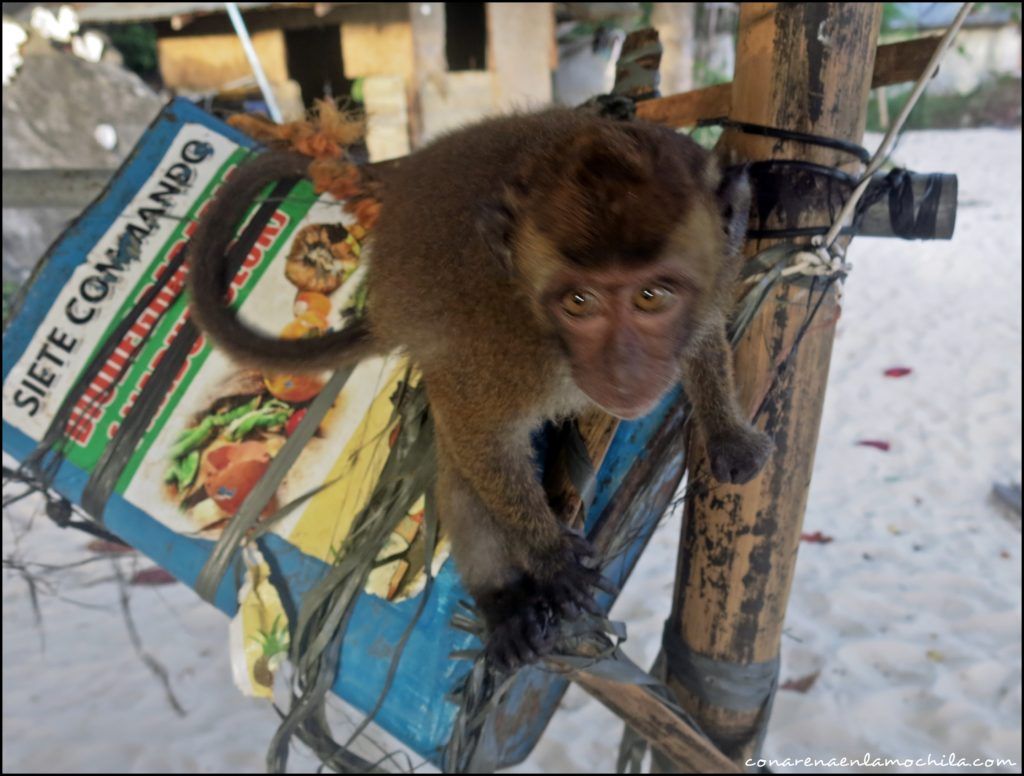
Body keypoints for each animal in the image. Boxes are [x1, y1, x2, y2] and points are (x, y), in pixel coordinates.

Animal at [188, 109, 770, 675]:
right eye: (579, 302)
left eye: (651, 296)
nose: (624, 372)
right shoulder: (497, 351)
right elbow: (478, 438)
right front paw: (550, 558)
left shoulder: (718, 277)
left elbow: (704, 337)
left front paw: (725, 428)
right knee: (459, 462)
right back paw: (504, 604)